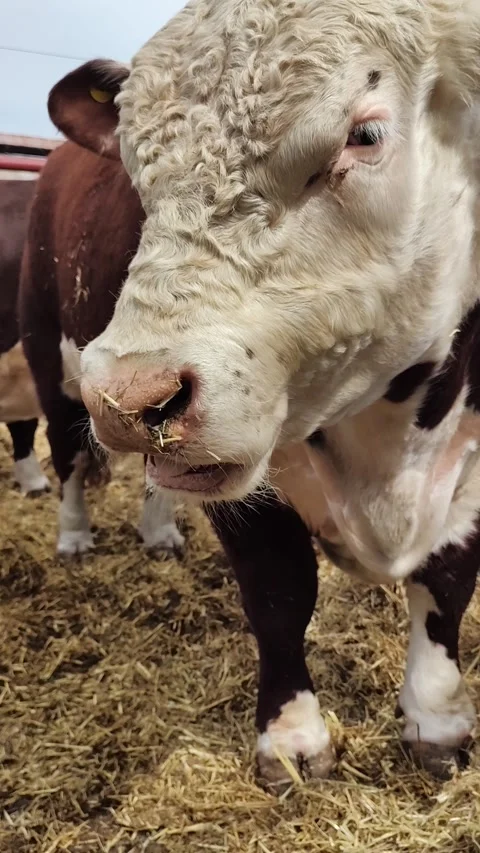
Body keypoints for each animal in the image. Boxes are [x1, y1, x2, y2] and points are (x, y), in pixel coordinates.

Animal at [47, 0, 480, 789]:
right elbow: (279, 593)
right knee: (65, 459)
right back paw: (72, 536)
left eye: (365, 135)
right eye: (136, 169)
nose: (128, 397)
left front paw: (437, 721)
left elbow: (448, 581)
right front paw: (292, 740)